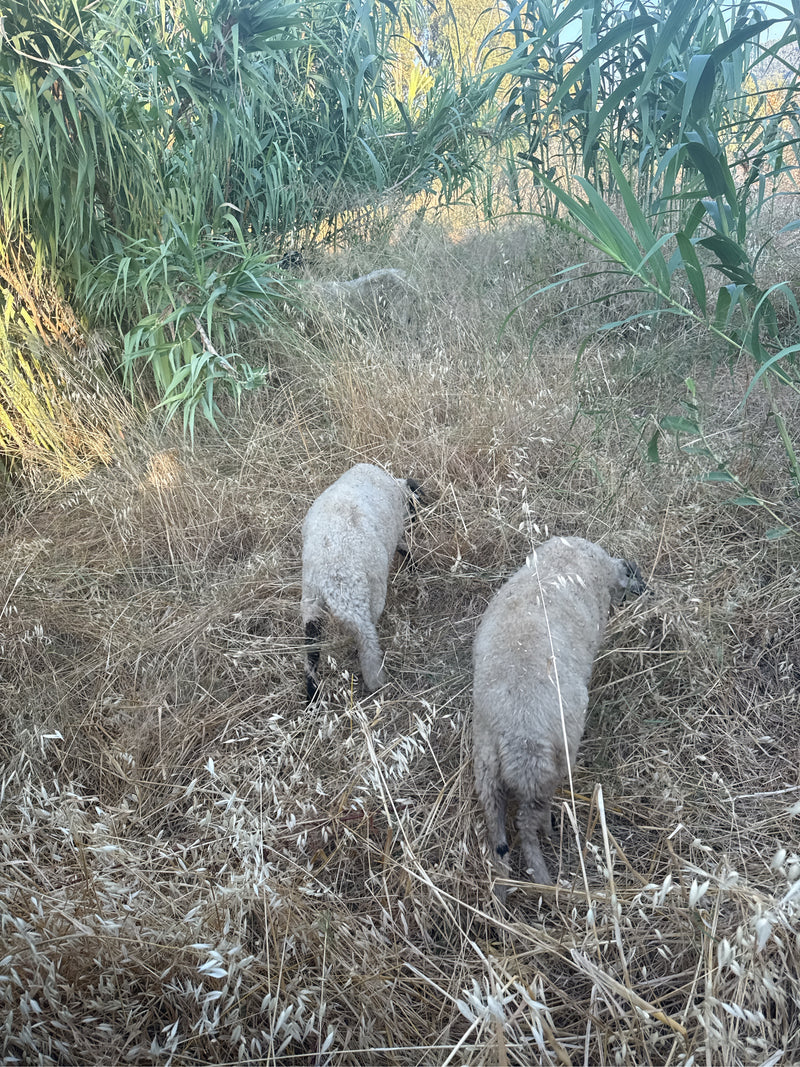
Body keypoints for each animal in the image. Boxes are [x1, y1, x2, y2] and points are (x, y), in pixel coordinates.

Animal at [301, 463, 422, 702]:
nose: (416, 520)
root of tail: (331, 579)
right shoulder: (396, 531)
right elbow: (404, 548)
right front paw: (414, 567)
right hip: (365, 597)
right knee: (367, 640)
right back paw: (375, 679)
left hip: (311, 600)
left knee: (312, 648)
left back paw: (312, 694)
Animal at [472, 536, 647, 898]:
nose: (646, 589)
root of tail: (507, 730)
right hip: (538, 770)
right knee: (525, 826)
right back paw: (545, 876)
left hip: (486, 770)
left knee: (497, 830)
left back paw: (501, 887)